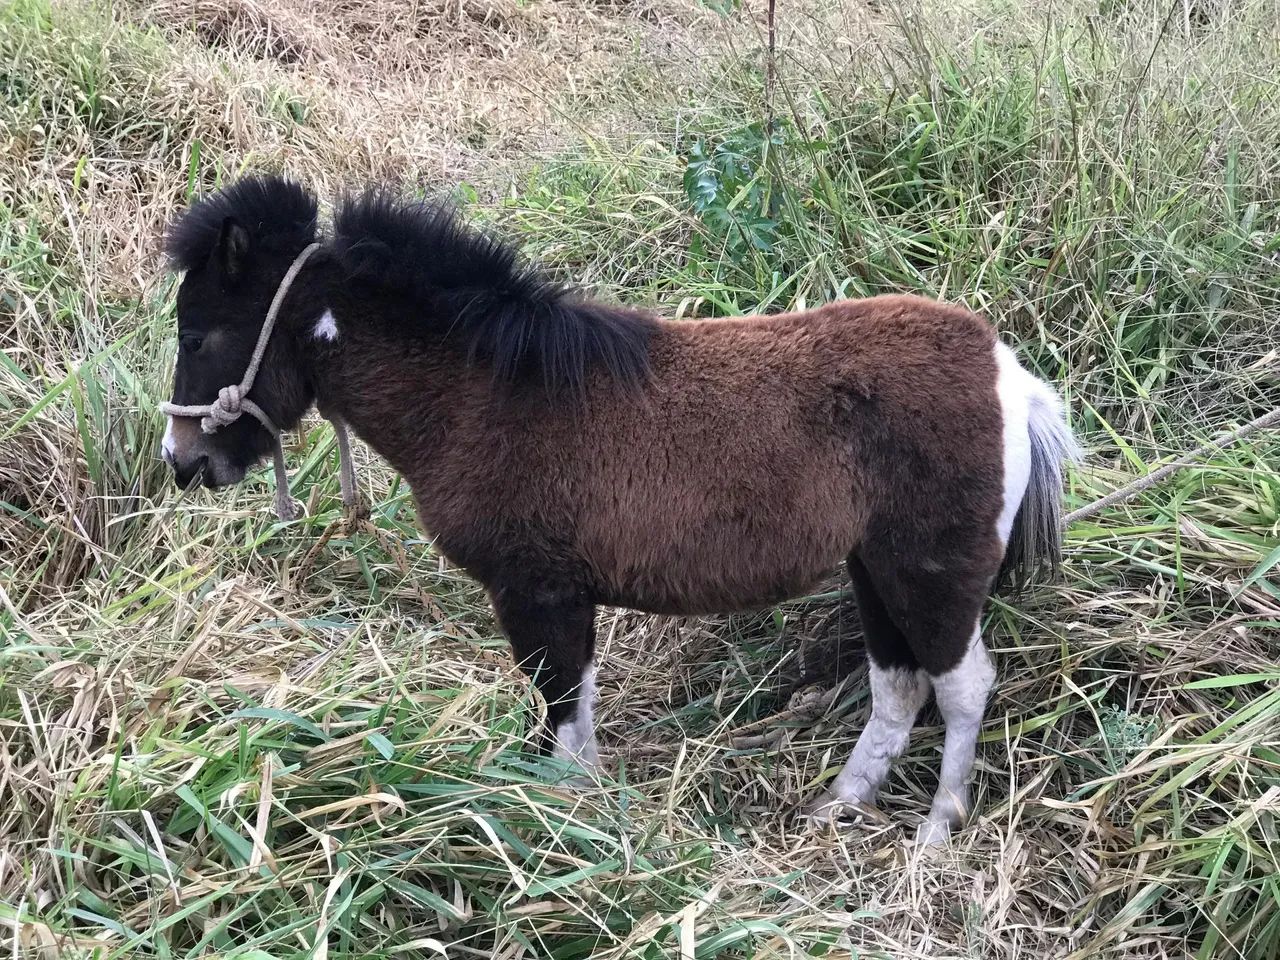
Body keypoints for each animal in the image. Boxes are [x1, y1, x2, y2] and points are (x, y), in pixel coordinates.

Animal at [159, 174, 1079, 844]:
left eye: (198, 334)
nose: (183, 461)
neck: (483, 394)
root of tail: (1008, 377)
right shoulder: (558, 593)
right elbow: (572, 706)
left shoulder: (536, 588)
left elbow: (560, 707)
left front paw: (557, 821)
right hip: (874, 569)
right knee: (898, 688)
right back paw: (838, 806)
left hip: (930, 572)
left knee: (962, 687)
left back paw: (936, 832)